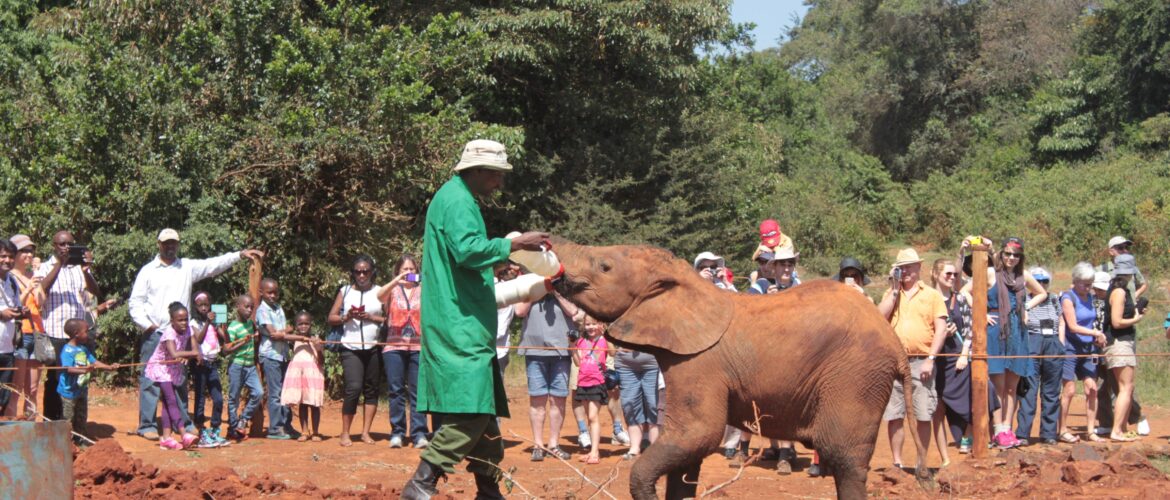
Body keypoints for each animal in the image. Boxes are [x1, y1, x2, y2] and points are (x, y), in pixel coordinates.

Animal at [552, 241, 917, 498]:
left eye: (604, 266)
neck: (687, 285)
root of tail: (896, 343)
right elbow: (688, 455)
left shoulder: (699, 363)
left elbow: (698, 434)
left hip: (857, 375)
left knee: (844, 459)